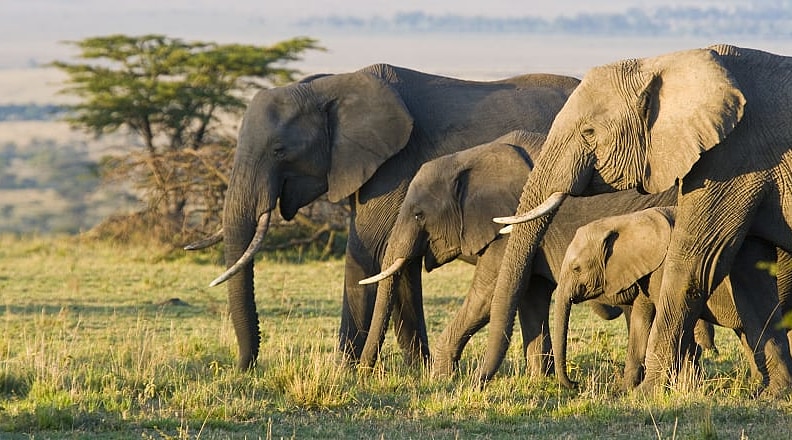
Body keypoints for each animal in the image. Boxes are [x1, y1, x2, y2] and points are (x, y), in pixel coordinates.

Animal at [187, 63, 580, 369]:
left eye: (279, 151)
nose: (245, 366)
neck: (329, 86)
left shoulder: (394, 166)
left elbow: (369, 253)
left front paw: (343, 372)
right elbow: (398, 265)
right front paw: (416, 371)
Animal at [357, 129, 696, 376]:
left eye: (418, 215)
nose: (363, 372)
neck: (473, 156)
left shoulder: (508, 227)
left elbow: (487, 296)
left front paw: (440, 379)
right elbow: (531, 297)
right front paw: (541, 381)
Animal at [551, 206, 792, 396]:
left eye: (576, 268)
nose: (575, 384)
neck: (626, 220)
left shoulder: (663, 268)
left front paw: (686, 389)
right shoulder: (647, 270)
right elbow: (641, 319)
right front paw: (623, 390)